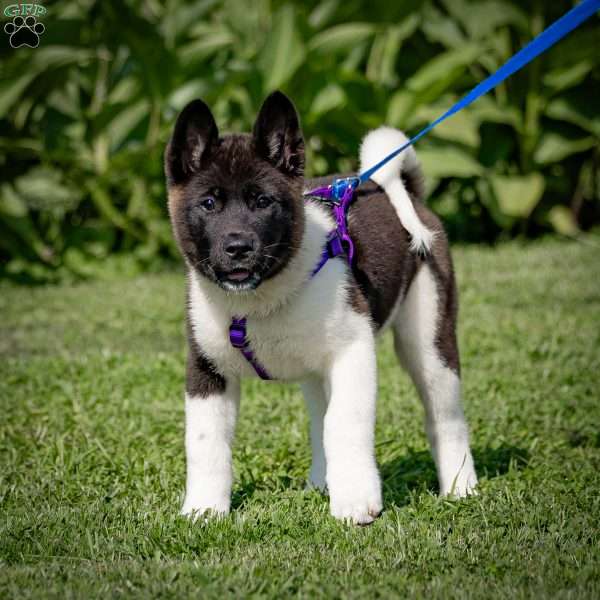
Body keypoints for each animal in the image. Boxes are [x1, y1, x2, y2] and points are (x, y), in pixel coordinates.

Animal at [164, 90, 478, 524]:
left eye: (263, 202)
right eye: (209, 203)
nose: (238, 247)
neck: (259, 301)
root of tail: (405, 192)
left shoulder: (353, 351)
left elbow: (344, 423)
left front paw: (356, 503)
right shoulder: (206, 368)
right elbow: (205, 441)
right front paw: (204, 509)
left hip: (429, 338)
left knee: (445, 415)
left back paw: (460, 486)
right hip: (315, 370)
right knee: (318, 415)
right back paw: (321, 482)